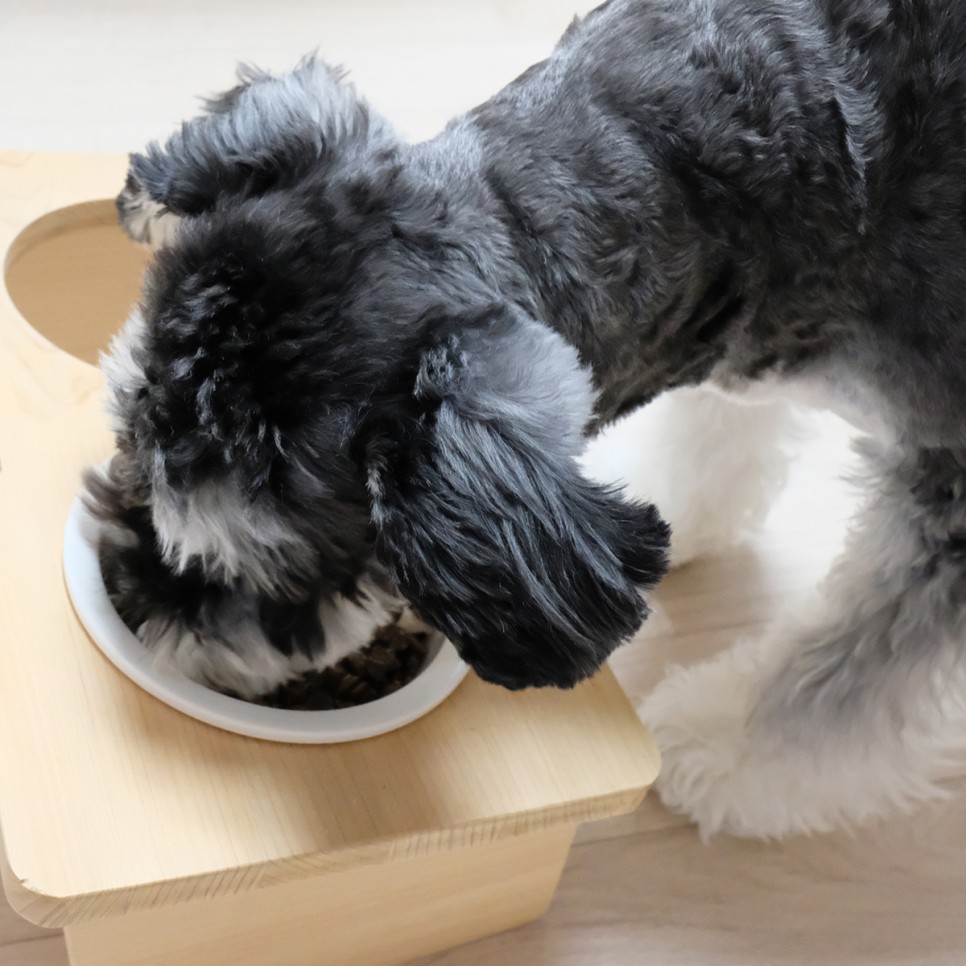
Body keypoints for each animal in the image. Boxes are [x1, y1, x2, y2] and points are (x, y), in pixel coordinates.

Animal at [91, 0, 966, 840]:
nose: (132, 601)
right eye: (126, 446)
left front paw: (721, 755)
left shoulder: (947, 490)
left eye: (266, 577)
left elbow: (853, 664)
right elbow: (716, 435)